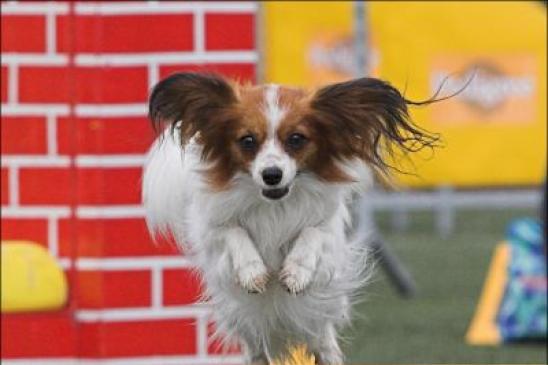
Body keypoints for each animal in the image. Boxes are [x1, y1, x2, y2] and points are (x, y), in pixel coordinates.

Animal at [142, 72, 436, 362]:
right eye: (247, 141)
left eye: (296, 139)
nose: (272, 175)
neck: (275, 206)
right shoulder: (212, 227)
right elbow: (234, 232)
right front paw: (252, 271)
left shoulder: (327, 226)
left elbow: (312, 232)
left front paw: (296, 271)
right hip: (246, 324)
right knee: (257, 352)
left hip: (319, 324)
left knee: (324, 345)